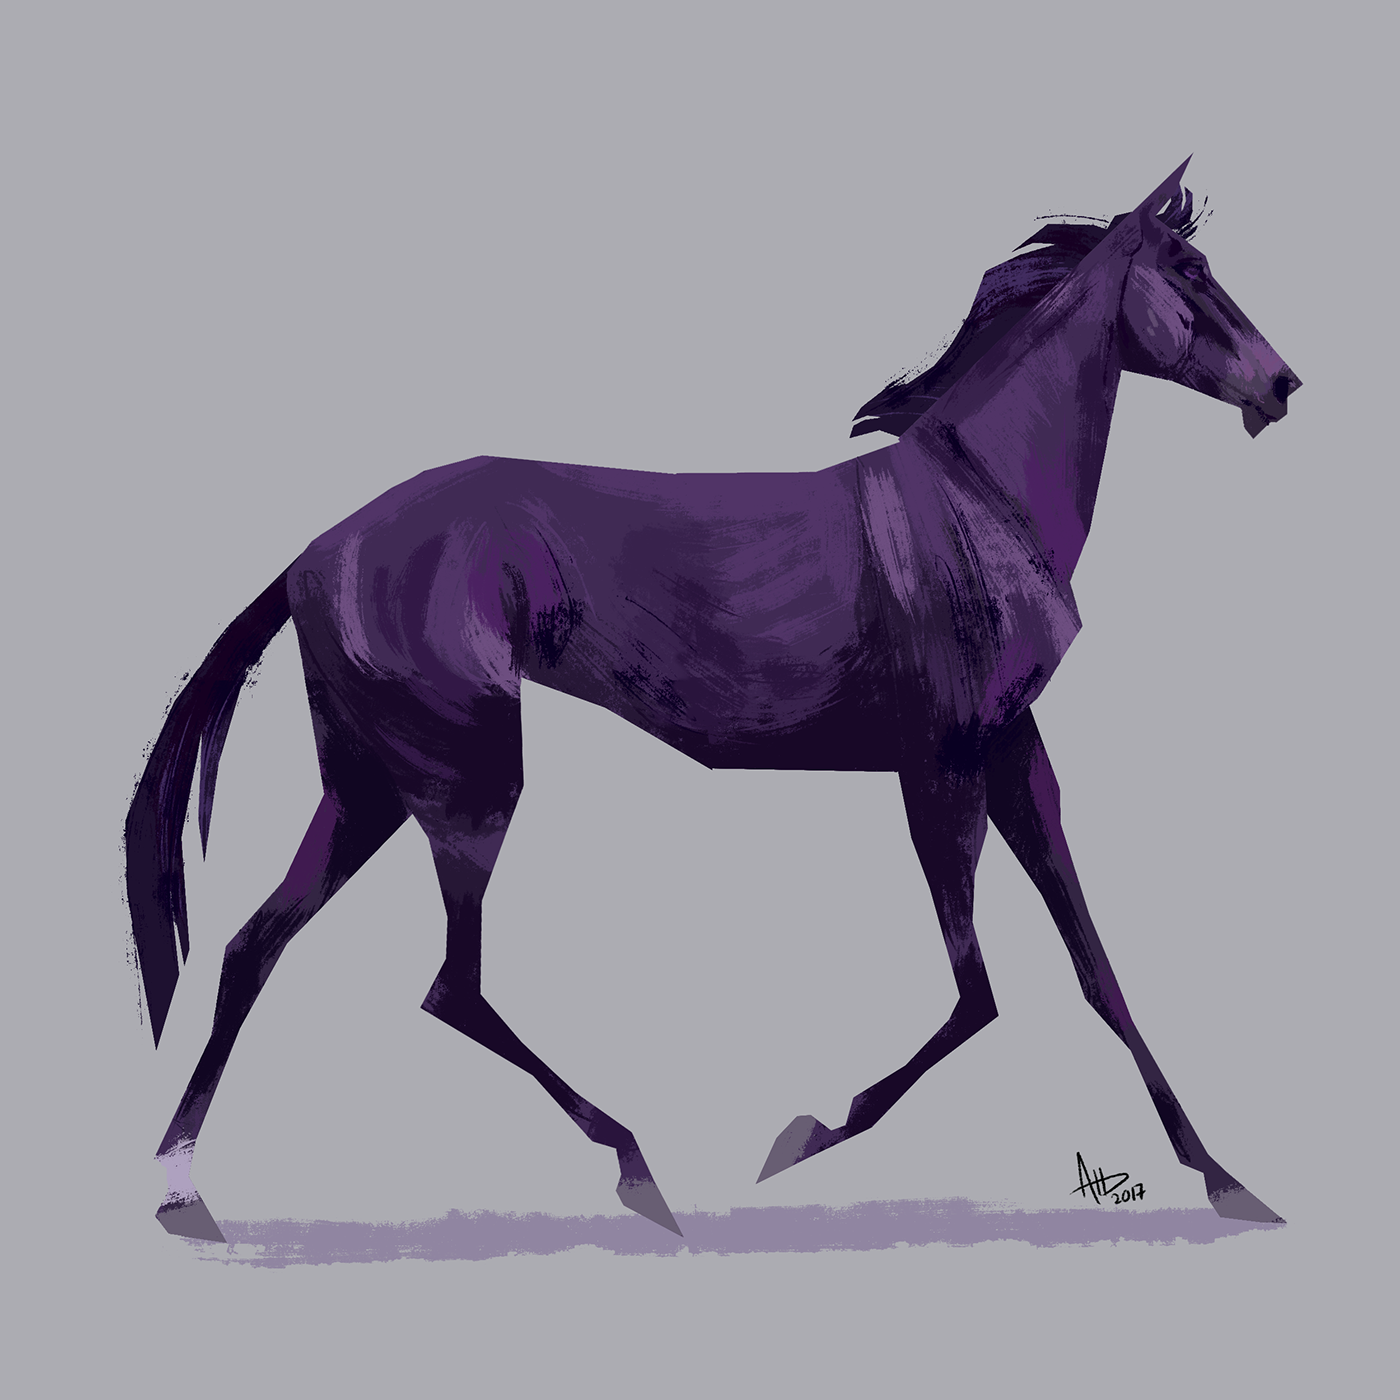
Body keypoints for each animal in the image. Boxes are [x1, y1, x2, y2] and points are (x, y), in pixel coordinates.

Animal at [127, 159, 1299, 1243]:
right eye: (1189, 272)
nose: (1282, 384)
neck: (985, 500)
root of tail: (310, 555)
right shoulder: (942, 764)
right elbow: (979, 992)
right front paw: (803, 1135)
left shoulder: (1014, 754)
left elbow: (1096, 968)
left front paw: (1226, 1177)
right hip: (468, 782)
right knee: (446, 983)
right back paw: (636, 1167)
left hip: (371, 784)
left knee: (256, 945)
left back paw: (185, 1190)